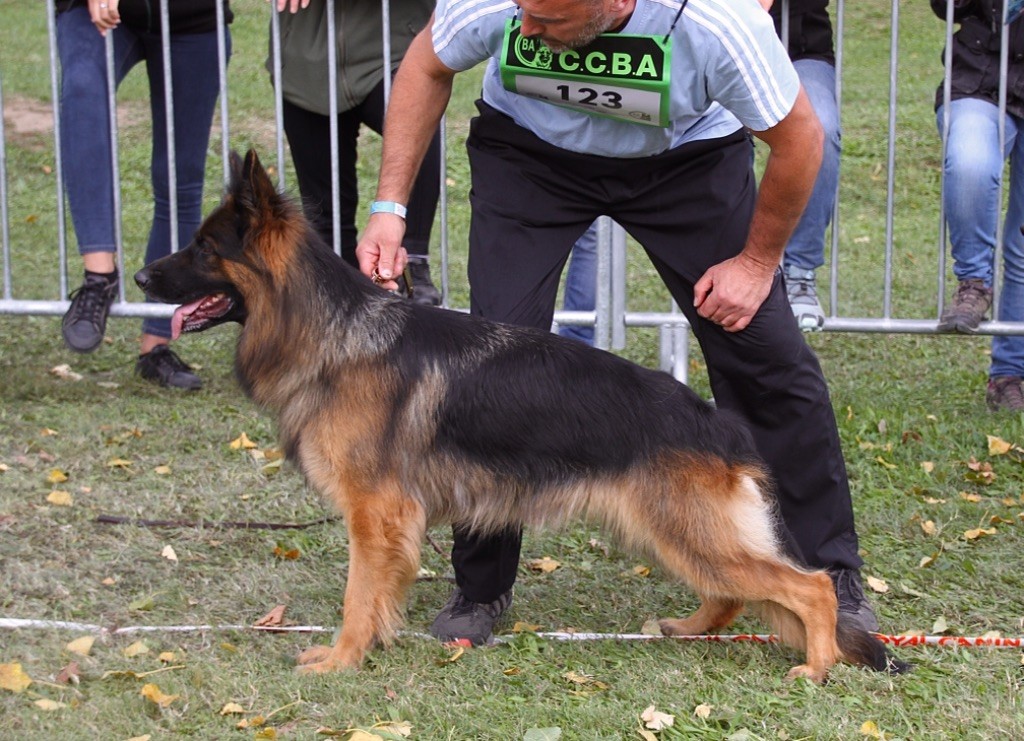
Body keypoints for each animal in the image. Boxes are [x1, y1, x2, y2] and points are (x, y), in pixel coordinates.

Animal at [136, 150, 905, 683]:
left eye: (204, 248)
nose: (140, 278)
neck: (331, 330)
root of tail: (718, 423)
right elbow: (377, 595)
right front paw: (371, 646)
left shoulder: (375, 514)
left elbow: (358, 596)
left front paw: (342, 659)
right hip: (676, 532)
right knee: (734, 594)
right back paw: (692, 627)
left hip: (687, 531)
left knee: (809, 586)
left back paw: (818, 663)